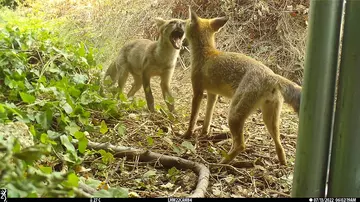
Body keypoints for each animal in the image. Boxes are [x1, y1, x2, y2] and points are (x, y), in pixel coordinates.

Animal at [181, 8, 302, 166]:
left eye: (186, 22)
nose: (179, 23)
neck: (206, 54)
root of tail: (271, 75)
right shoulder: (212, 94)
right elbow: (207, 118)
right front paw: (203, 133)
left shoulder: (198, 91)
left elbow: (193, 118)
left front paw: (187, 134)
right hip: (269, 120)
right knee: (279, 146)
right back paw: (282, 163)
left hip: (233, 115)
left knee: (241, 145)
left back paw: (222, 162)